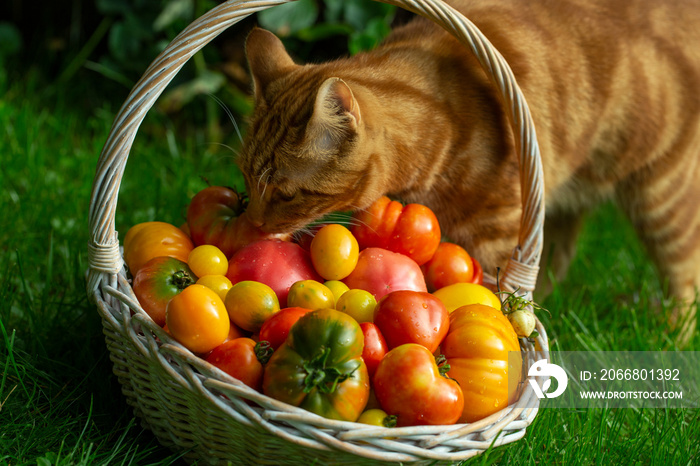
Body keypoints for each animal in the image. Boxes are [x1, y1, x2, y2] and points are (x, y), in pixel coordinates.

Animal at [238, 0, 696, 342]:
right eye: (244, 174)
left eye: (286, 194)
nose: (253, 224)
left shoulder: (498, 230)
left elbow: (493, 296)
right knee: (556, 259)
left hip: (664, 197)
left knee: (686, 281)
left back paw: (671, 335)